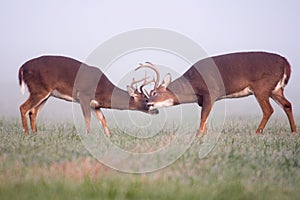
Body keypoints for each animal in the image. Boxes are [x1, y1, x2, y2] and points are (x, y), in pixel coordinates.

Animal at [18, 55, 158, 136]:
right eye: (146, 99)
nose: (156, 111)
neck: (103, 90)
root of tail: (22, 68)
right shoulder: (83, 96)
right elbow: (87, 119)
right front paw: (88, 136)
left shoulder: (95, 105)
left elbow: (103, 120)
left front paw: (110, 137)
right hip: (39, 89)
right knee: (23, 108)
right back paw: (27, 135)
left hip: (46, 93)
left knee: (33, 112)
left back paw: (36, 135)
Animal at [137, 52, 298, 136]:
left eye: (154, 92)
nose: (148, 103)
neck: (193, 84)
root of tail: (286, 63)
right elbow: (205, 119)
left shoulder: (211, 93)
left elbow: (203, 118)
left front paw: (198, 136)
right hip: (275, 89)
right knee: (287, 104)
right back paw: (294, 132)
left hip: (261, 88)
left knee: (268, 110)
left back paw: (257, 132)